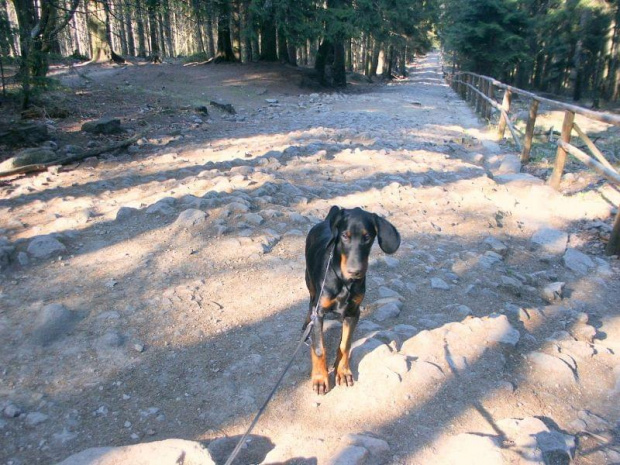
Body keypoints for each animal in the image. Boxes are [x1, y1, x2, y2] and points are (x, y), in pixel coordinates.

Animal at [302, 206, 400, 392]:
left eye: (367, 237)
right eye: (345, 236)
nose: (355, 271)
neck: (344, 282)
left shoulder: (353, 313)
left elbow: (345, 344)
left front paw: (343, 371)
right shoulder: (319, 313)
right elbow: (319, 349)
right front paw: (320, 378)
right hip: (310, 283)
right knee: (310, 305)